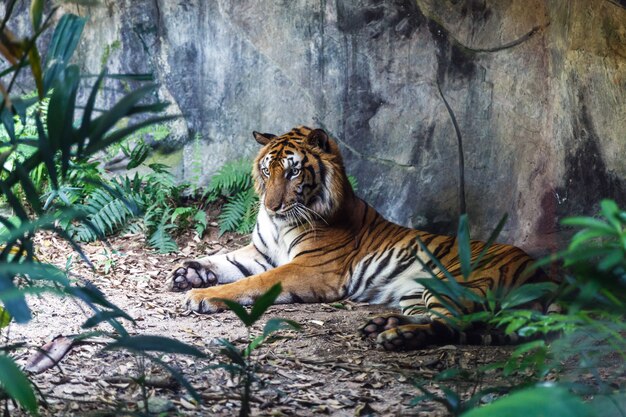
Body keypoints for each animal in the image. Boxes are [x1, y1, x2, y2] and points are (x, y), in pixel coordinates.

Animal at [163, 125, 548, 350]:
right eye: (266, 171)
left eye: (292, 172)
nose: (271, 206)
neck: (279, 225)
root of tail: (541, 272)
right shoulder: (260, 252)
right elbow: (224, 260)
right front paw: (187, 272)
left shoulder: (310, 269)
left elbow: (250, 283)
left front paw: (202, 295)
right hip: (418, 293)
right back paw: (383, 324)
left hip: (454, 285)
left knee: (452, 325)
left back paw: (396, 336)